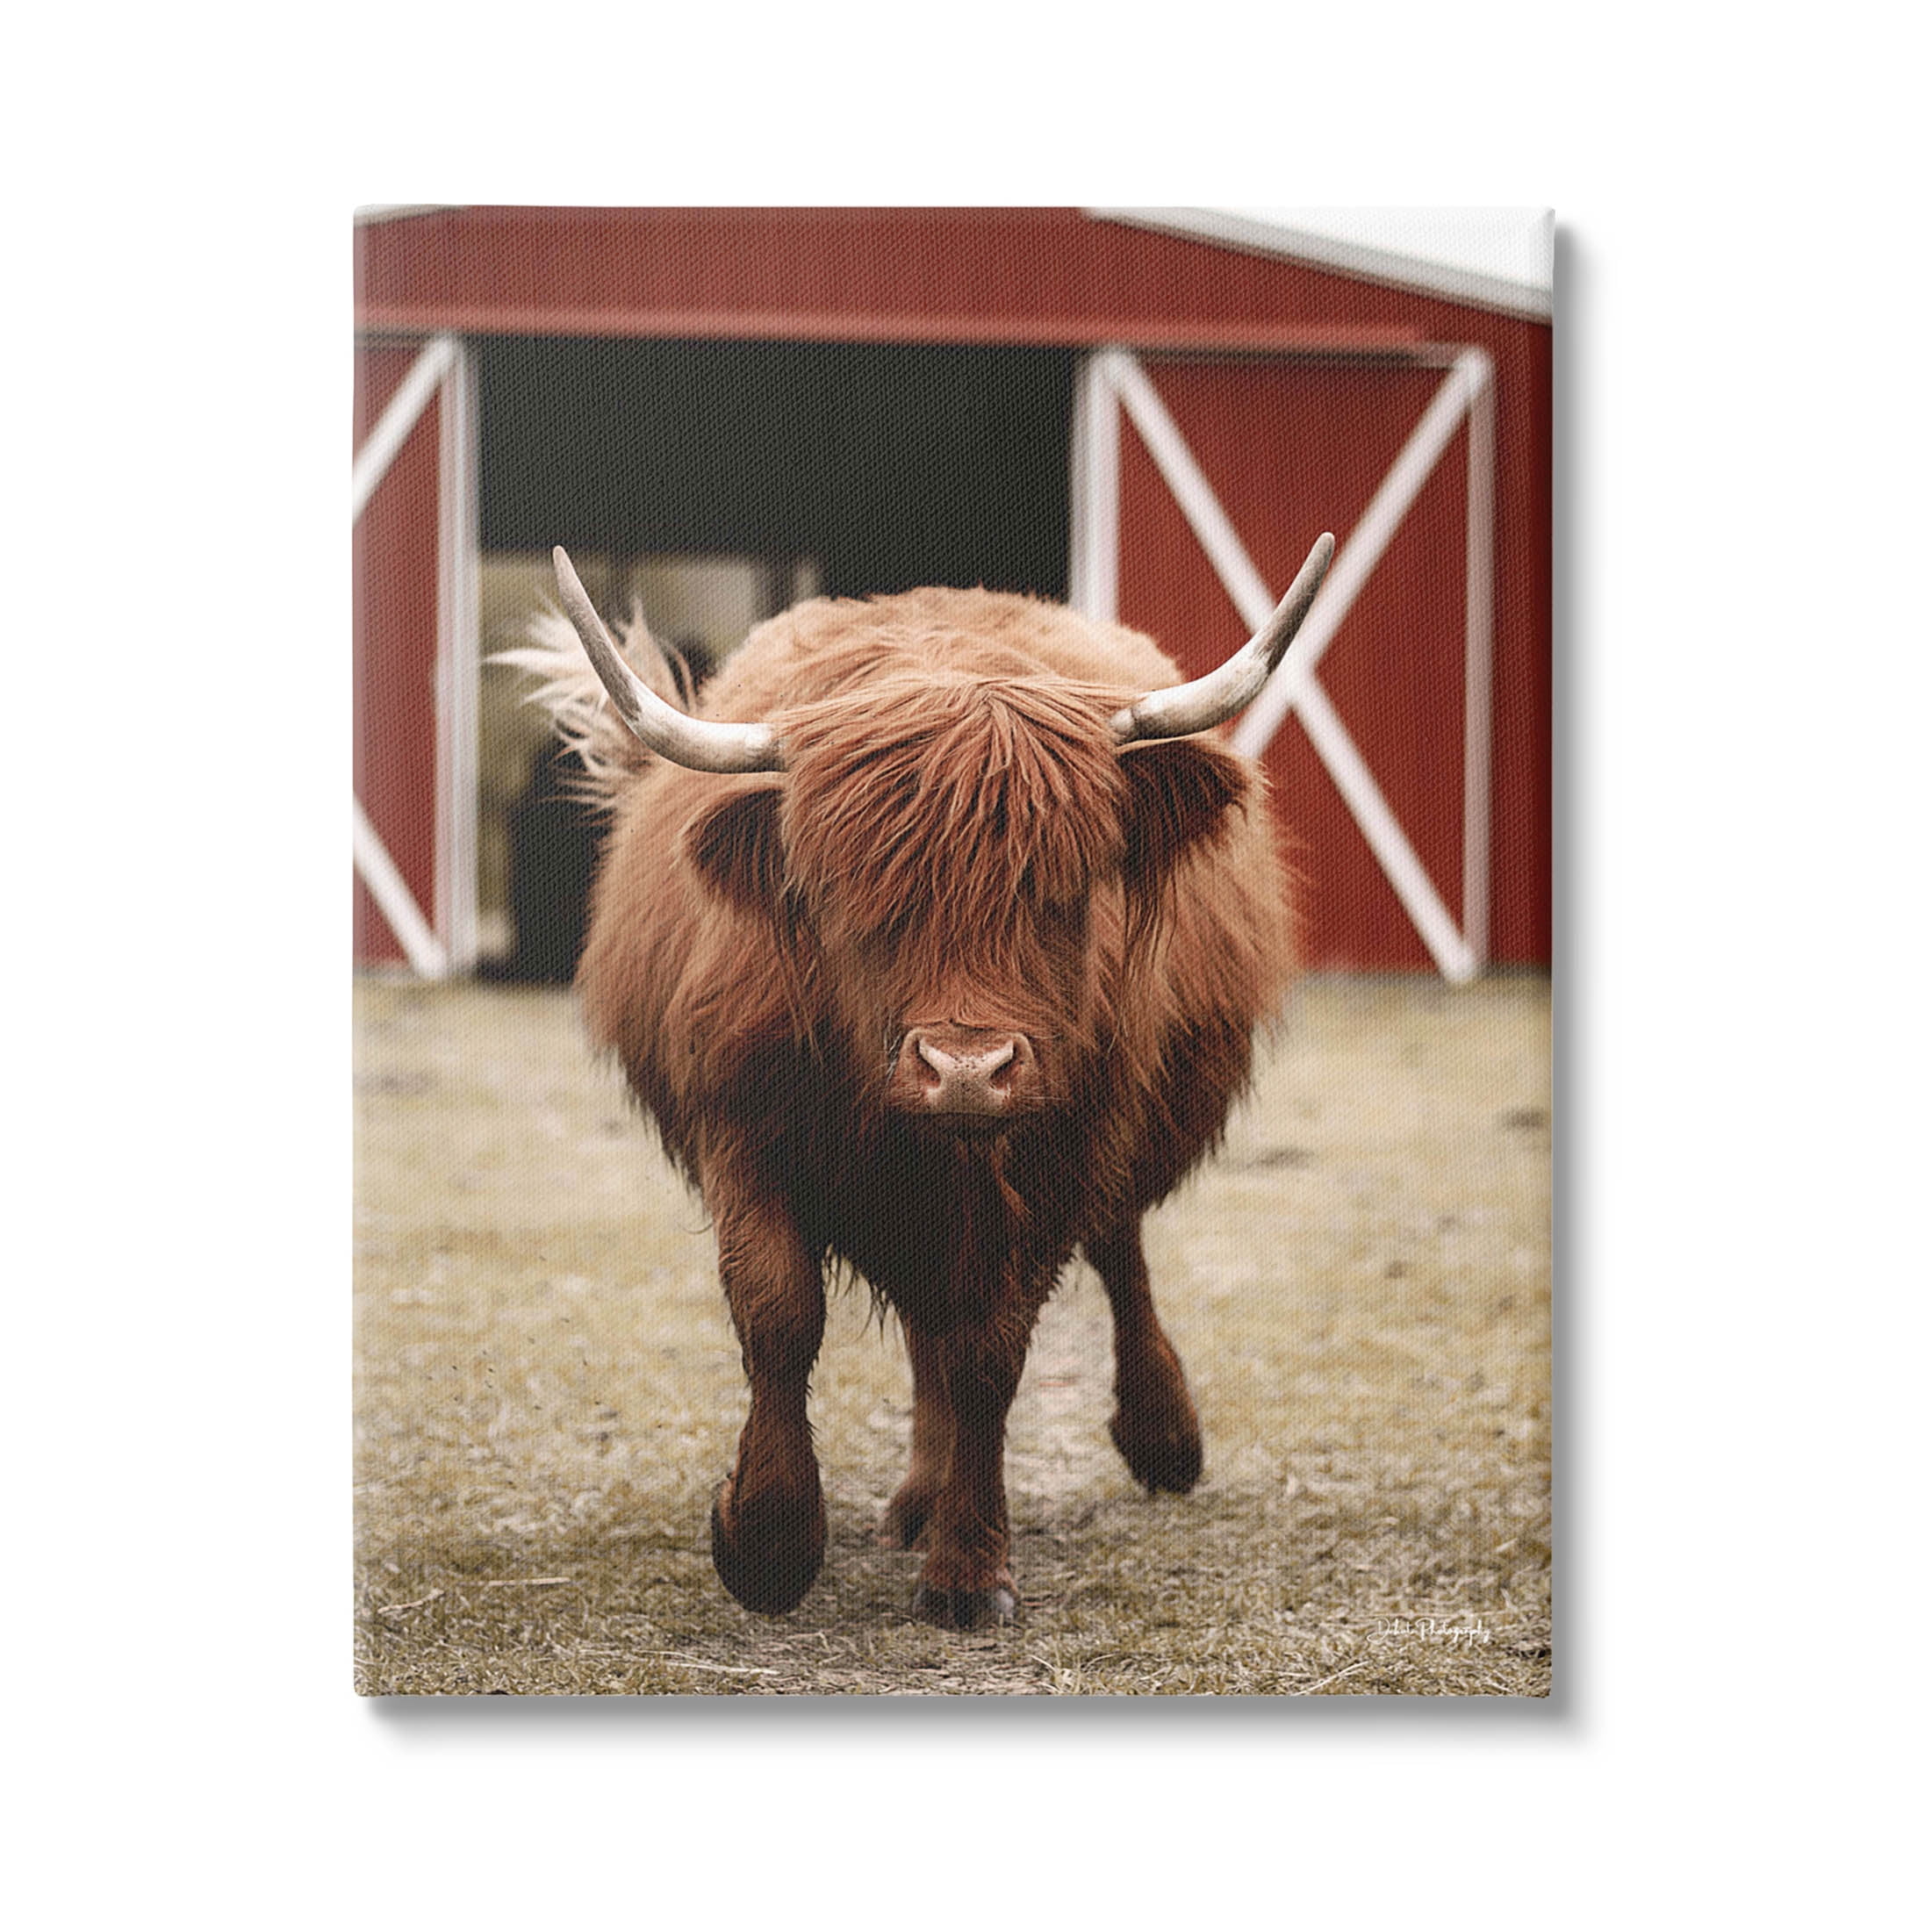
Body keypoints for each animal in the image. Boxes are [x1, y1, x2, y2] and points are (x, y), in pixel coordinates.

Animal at [502, 534, 1333, 1629]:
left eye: (1061, 891)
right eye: (857, 896)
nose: (965, 1070)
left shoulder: (1055, 1156)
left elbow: (991, 1349)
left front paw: (969, 1569)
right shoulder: (741, 1124)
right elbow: (779, 1311)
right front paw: (764, 1543)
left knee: (1114, 1250)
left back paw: (1158, 1439)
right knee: (923, 1319)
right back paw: (915, 1496)